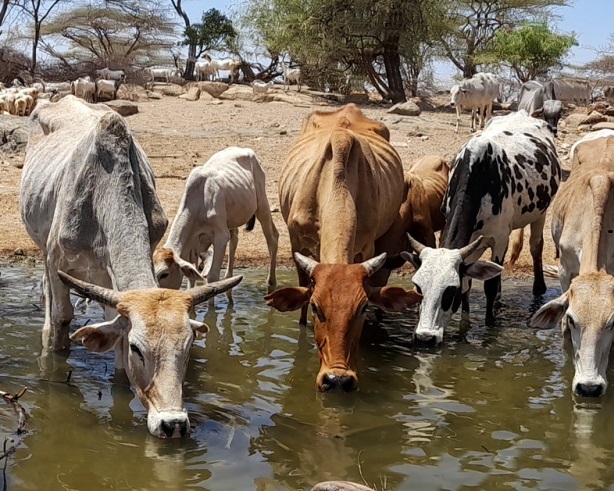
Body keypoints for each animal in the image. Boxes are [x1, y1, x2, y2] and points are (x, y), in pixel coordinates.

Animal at [19, 96, 241, 438]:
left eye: (188, 346)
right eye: (138, 349)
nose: (173, 424)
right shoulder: (57, 261)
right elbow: (62, 319)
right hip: (42, 246)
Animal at [154, 146, 280, 294]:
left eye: (164, 274)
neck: (199, 203)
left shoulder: (220, 237)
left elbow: (212, 277)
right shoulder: (194, 243)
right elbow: (192, 278)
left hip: (262, 205)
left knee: (272, 238)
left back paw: (271, 282)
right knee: (235, 239)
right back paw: (228, 277)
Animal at [404, 109, 564, 344]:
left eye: (449, 290)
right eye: (417, 287)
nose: (425, 337)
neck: (479, 174)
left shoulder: (499, 238)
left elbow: (487, 286)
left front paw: (489, 327)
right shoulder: (469, 243)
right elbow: (469, 286)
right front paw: (464, 327)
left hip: (540, 213)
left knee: (536, 247)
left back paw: (538, 289)